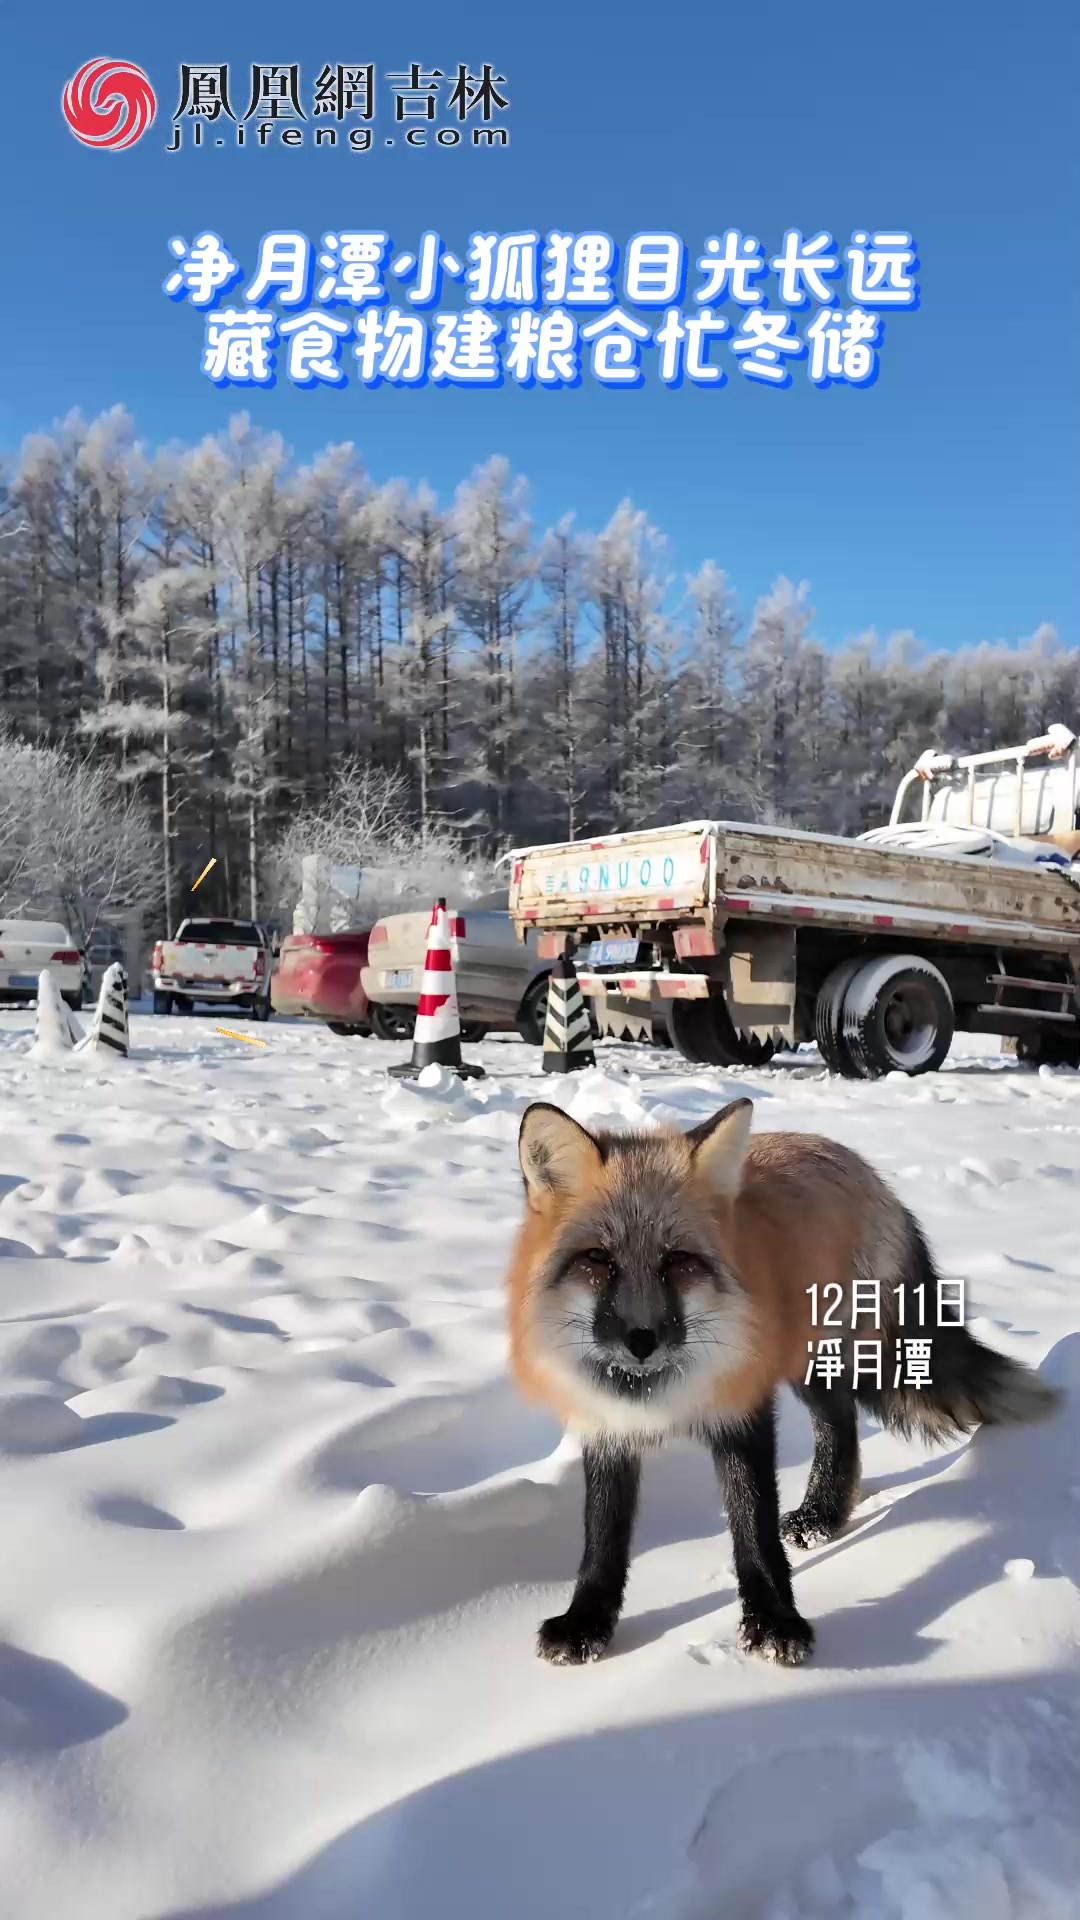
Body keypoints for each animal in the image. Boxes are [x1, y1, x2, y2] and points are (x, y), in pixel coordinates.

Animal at [507, 1098, 1060, 1666]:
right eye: (598, 1259)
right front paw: (587, 1623)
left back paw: (822, 1516)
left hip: (821, 1355)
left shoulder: (742, 1408)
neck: (660, 1393)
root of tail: (852, 1159)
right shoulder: (607, 1424)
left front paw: (774, 1621)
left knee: (839, 1427)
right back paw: (825, 1515)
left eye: (678, 1261)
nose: (643, 1340)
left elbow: (755, 1526)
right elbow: (602, 1535)